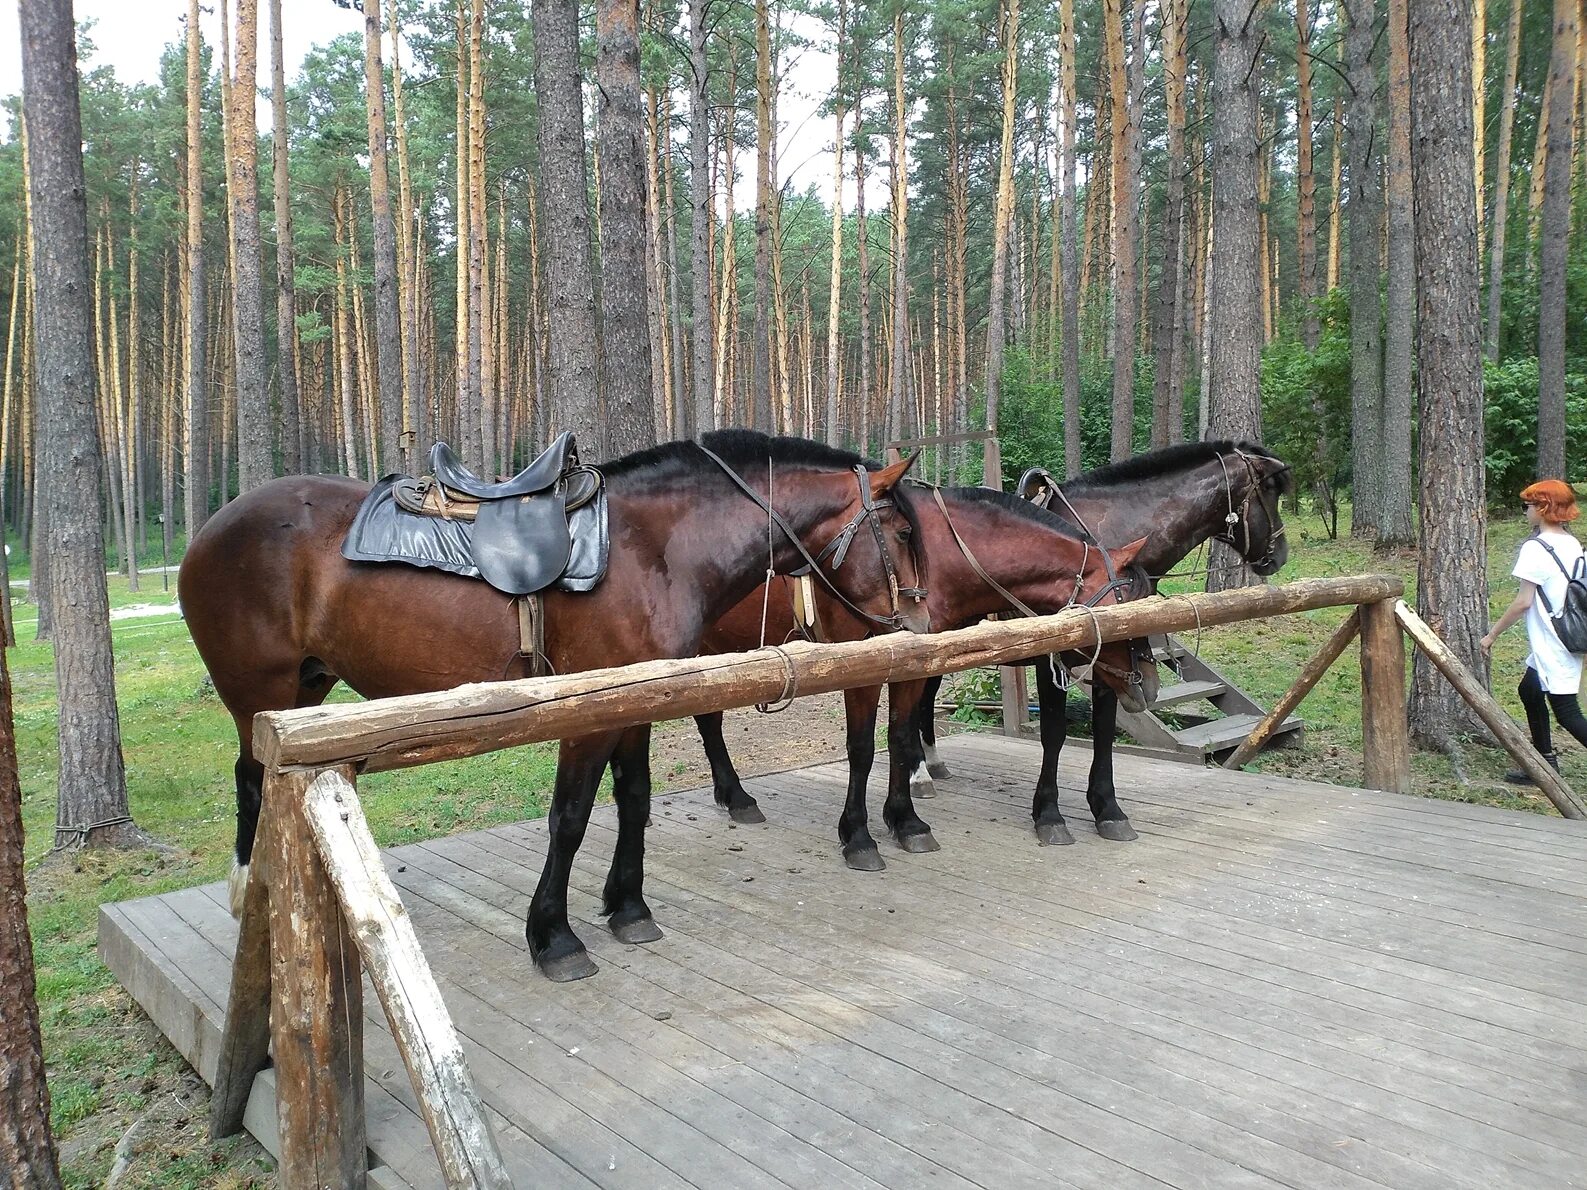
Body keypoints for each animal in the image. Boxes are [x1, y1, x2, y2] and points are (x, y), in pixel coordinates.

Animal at [180, 434, 926, 983]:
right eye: (901, 533)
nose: (920, 626)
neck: (653, 549)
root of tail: (210, 527)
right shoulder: (586, 712)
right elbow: (569, 818)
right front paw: (555, 937)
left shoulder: (636, 702)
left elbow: (633, 800)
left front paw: (627, 907)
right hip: (264, 695)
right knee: (256, 784)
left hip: (306, 686)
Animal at [691, 488, 1155, 869]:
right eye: (1123, 612)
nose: (1147, 684)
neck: (930, 560)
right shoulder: (862, 670)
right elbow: (863, 749)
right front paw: (858, 835)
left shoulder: (912, 666)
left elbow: (900, 738)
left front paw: (905, 821)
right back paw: (737, 796)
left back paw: (734, 796)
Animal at [914, 441, 1294, 850]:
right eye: (1269, 490)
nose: (1279, 554)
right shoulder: (1054, 660)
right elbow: (1054, 733)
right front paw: (1049, 815)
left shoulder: (1113, 663)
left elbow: (1104, 732)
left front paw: (1108, 810)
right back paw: (920, 776)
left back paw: (932, 765)